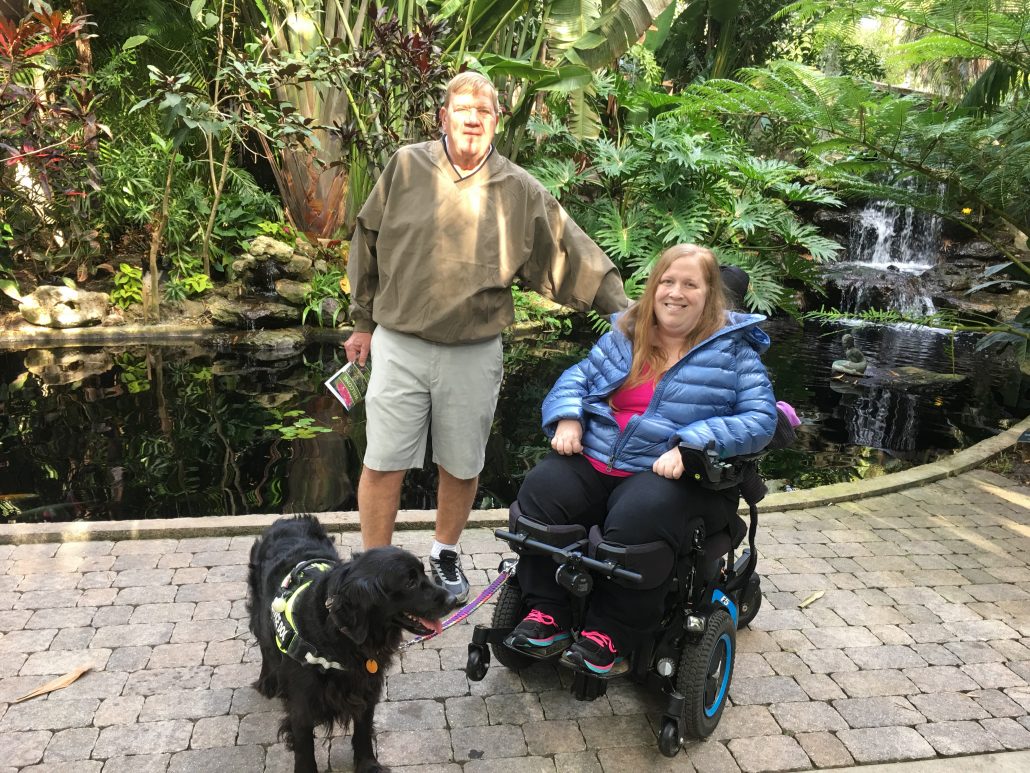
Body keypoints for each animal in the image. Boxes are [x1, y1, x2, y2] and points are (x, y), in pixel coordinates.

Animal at [247, 515, 457, 773]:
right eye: (409, 582)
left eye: (424, 574)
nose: (453, 599)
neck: (338, 636)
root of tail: (289, 519)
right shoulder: (302, 703)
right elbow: (304, 747)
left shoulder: (366, 687)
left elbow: (363, 730)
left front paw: (368, 765)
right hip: (260, 613)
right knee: (265, 645)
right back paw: (267, 680)